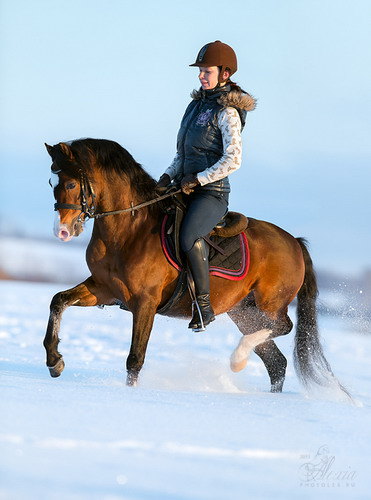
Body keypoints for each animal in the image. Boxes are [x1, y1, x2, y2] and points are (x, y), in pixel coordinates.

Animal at [45, 139, 350, 396]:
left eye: (70, 185)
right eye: (52, 182)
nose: (62, 231)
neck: (130, 229)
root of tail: (294, 242)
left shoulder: (145, 303)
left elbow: (135, 359)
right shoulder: (103, 289)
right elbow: (58, 301)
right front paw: (54, 361)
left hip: (270, 303)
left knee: (282, 326)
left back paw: (237, 359)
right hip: (244, 312)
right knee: (277, 362)